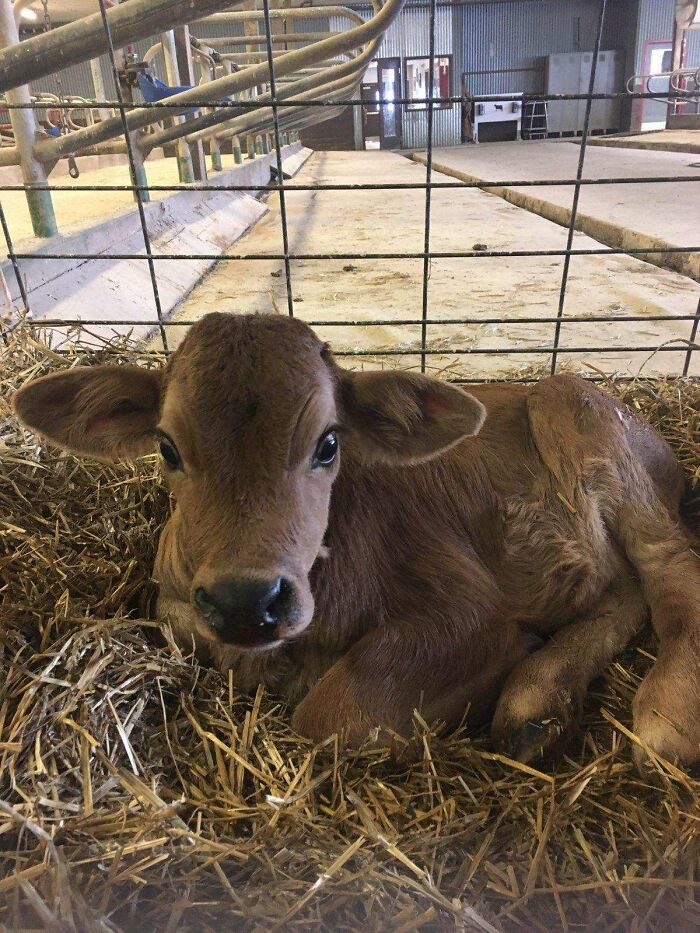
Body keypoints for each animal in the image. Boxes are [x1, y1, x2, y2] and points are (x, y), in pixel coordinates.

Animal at [13, 312, 700, 767]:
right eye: (166, 447)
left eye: (328, 443)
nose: (246, 601)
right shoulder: (177, 602)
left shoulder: (466, 610)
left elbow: (333, 714)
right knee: (623, 588)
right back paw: (538, 705)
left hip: (578, 405)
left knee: (670, 565)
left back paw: (663, 714)